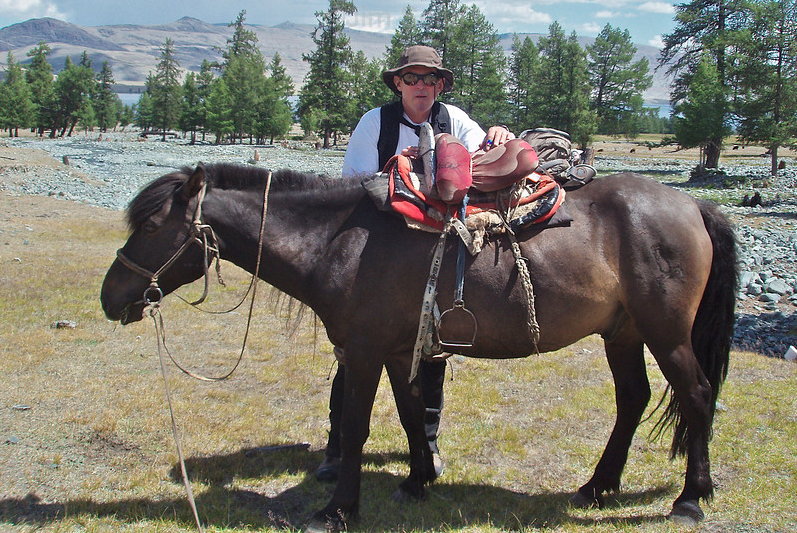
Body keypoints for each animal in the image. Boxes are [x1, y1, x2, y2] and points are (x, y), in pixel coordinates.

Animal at [101, 162, 740, 528]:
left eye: (153, 225)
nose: (111, 298)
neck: (338, 240)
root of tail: (692, 205)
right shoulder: (394, 349)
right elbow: (412, 413)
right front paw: (417, 481)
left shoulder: (362, 352)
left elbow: (355, 425)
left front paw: (339, 509)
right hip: (623, 334)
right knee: (632, 400)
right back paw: (598, 486)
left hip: (665, 334)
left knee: (697, 396)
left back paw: (690, 498)